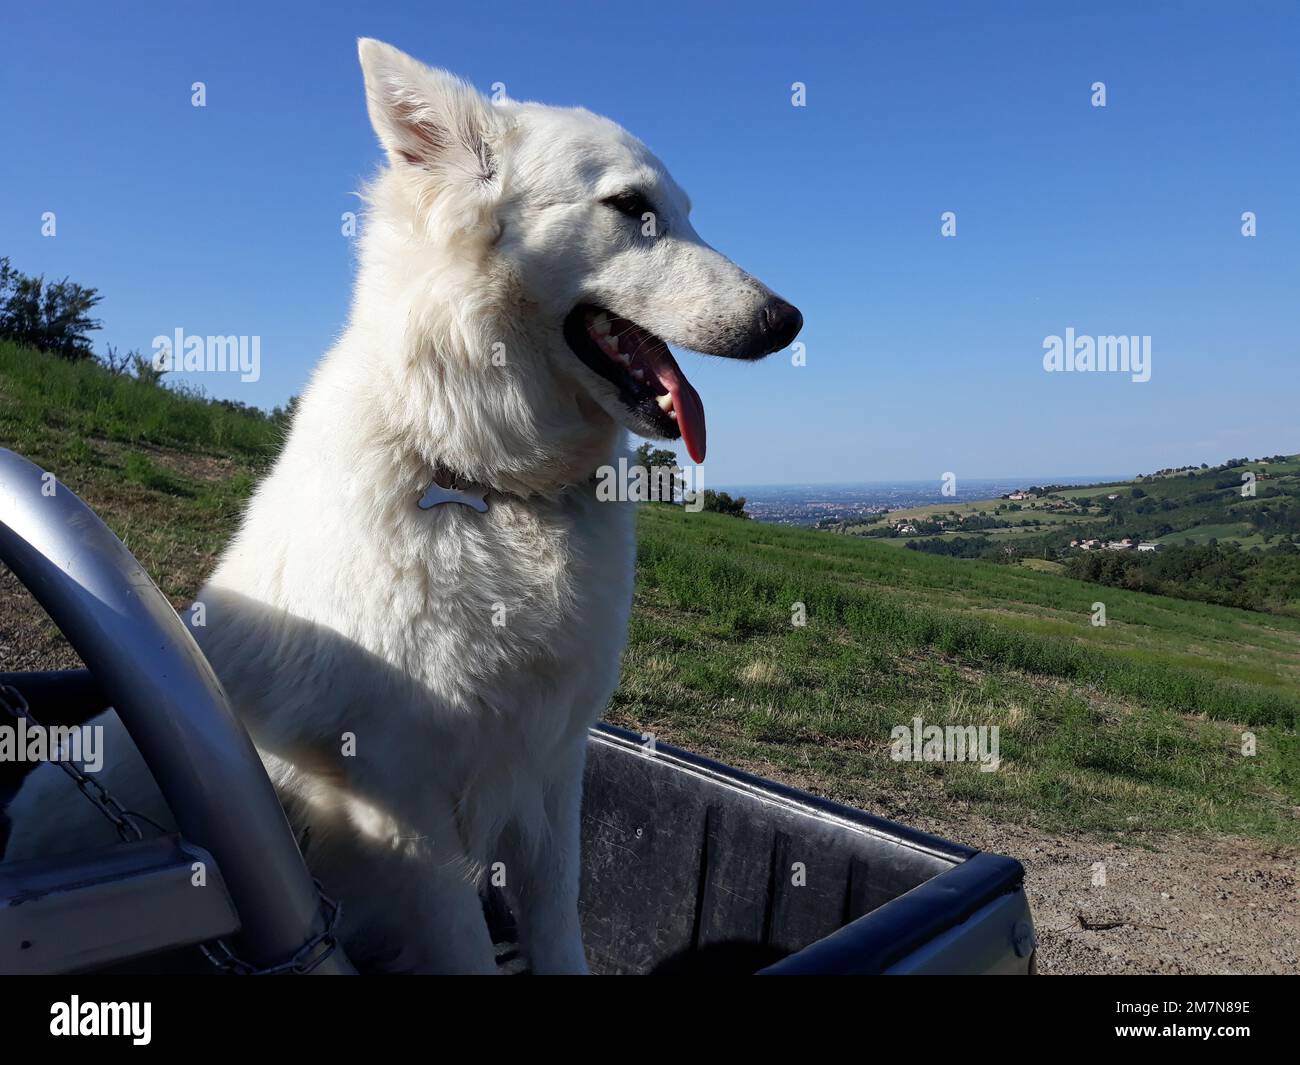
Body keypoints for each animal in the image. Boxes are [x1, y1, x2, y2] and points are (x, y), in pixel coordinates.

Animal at [5, 41, 795, 972]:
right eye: (632, 208)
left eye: (683, 213)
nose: (788, 320)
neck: (487, 481)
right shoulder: (404, 808)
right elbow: (463, 948)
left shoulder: (553, 769)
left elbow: (558, 924)